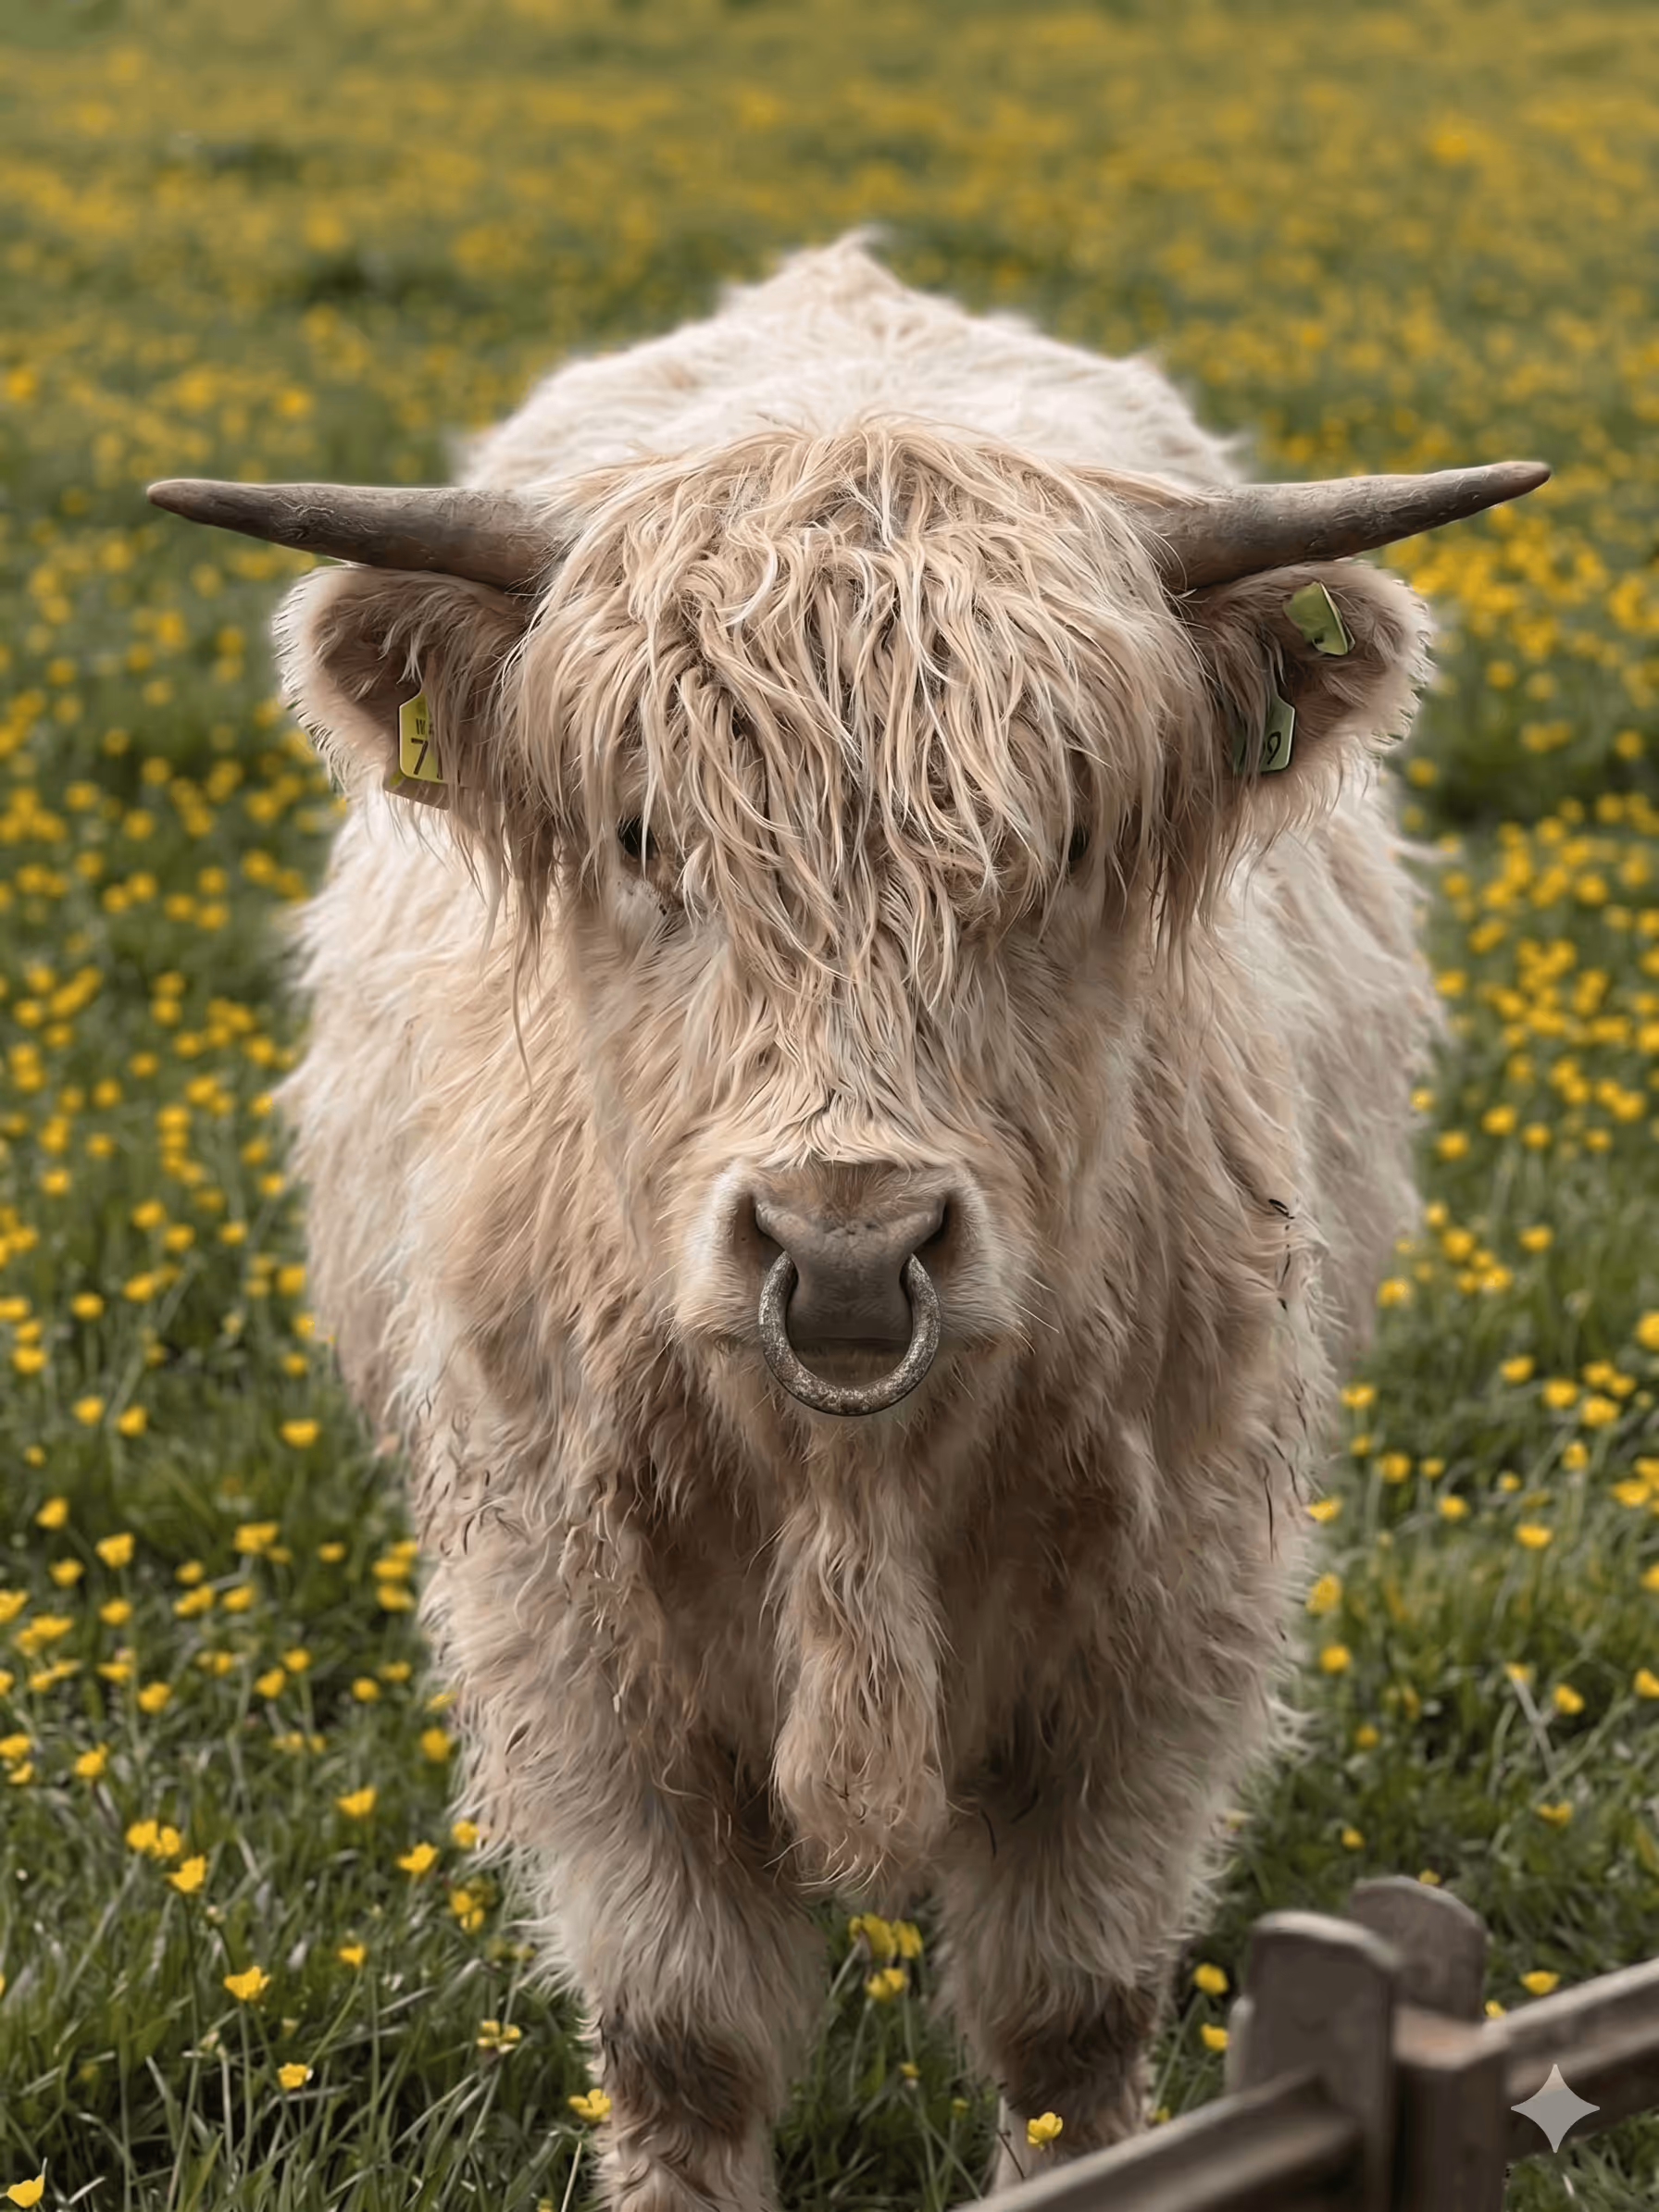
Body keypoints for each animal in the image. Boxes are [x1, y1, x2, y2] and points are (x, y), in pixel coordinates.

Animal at [149, 231, 1546, 2212]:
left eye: (1062, 846)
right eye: (643, 838)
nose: (847, 1249)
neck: (852, 1487)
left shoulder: (1158, 1641)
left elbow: (1066, 2022)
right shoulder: (576, 1646)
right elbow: (683, 2039)